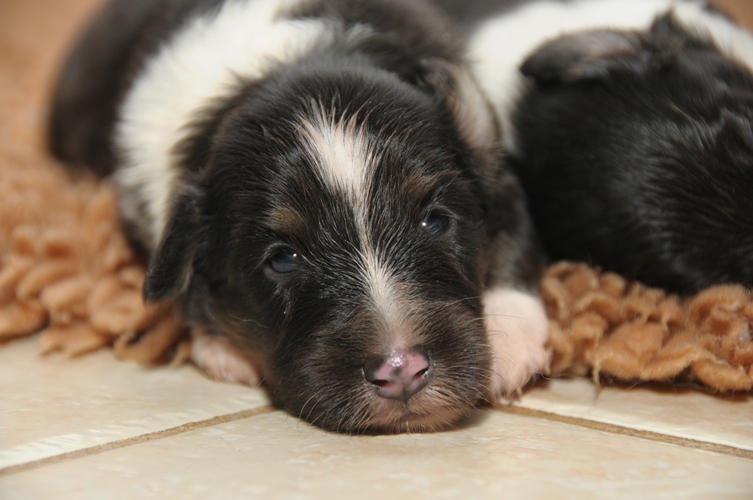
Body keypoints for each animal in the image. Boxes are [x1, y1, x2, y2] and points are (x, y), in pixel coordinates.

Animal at [50, 0, 548, 432]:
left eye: (435, 222)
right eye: (283, 259)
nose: (401, 370)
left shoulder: (498, 172)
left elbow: (514, 246)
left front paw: (511, 343)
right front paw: (221, 349)